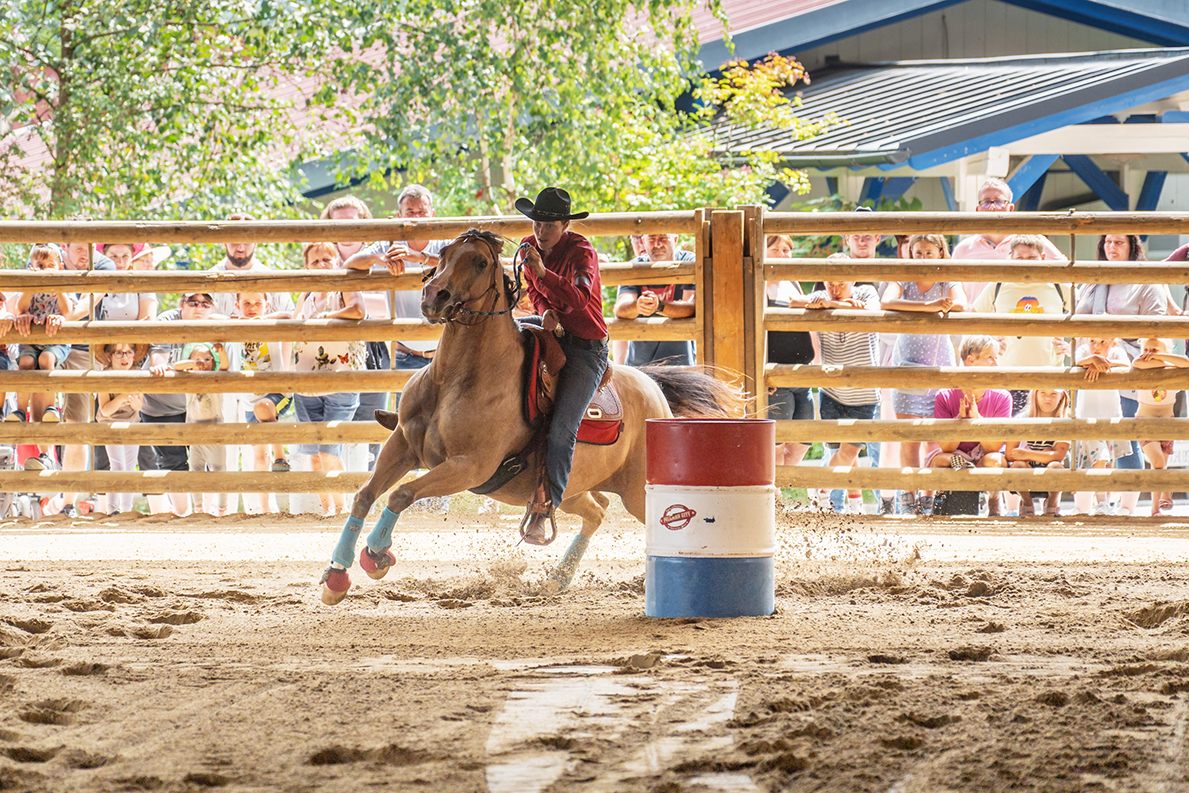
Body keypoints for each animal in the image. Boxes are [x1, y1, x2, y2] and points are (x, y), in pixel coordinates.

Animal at [321, 229, 737, 608]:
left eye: (480, 262)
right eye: (444, 253)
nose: (433, 297)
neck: (456, 378)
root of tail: (651, 385)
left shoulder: (469, 466)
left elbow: (401, 493)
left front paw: (377, 554)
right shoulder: (403, 445)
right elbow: (364, 495)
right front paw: (336, 576)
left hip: (637, 492)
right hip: (571, 489)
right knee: (597, 511)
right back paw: (557, 578)